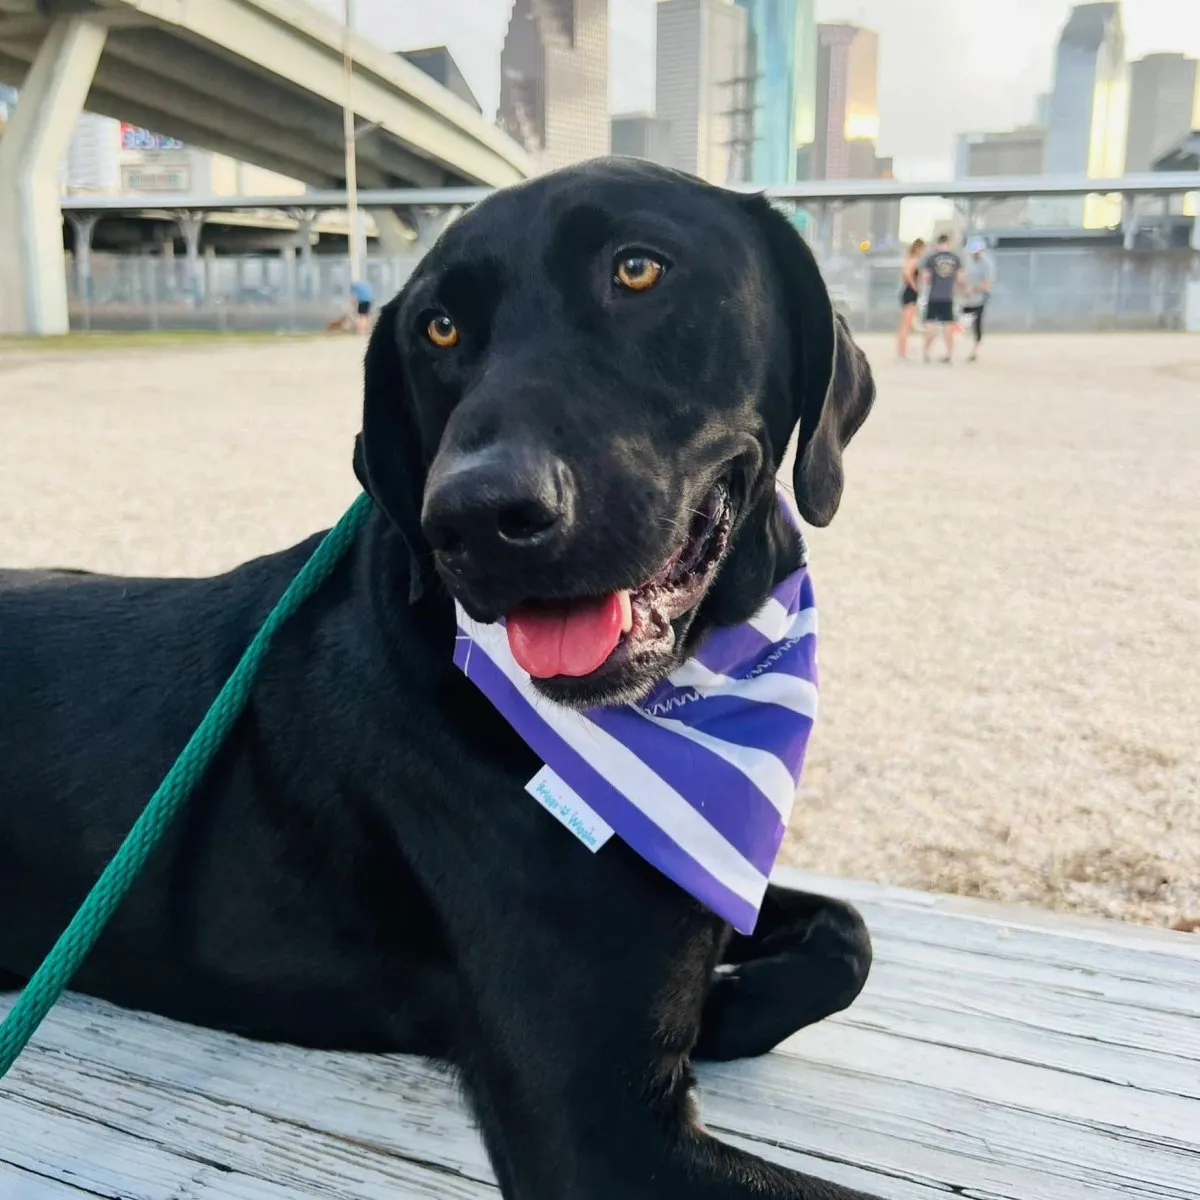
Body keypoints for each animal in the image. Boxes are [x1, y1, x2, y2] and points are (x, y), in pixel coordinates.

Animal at [2, 162, 883, 1200]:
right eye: (440, 329)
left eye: (637, 270)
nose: (478, 515)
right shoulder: (602, 1133)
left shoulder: (704, 882)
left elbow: (850, 933)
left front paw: (727, 1010)